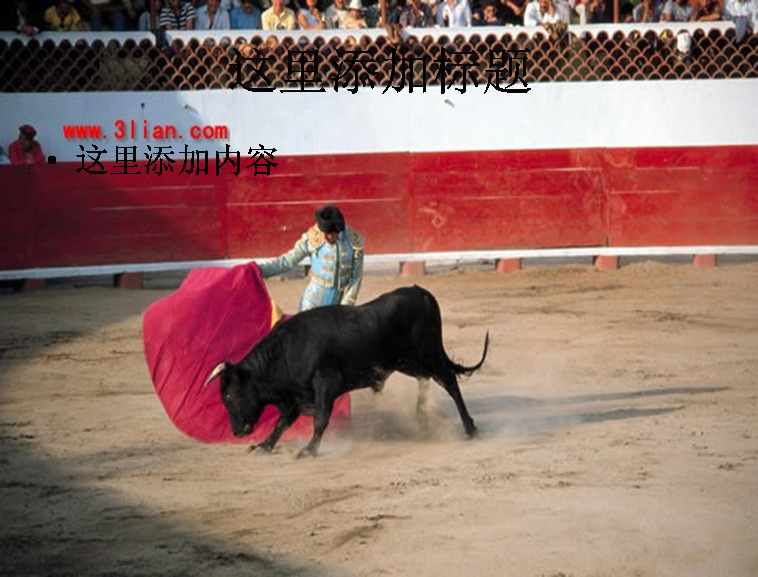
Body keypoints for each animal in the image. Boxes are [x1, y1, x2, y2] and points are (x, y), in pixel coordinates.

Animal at [206, 286, 492, 456]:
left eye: (228, 395)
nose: (236, 432)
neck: (286, 352)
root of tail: (422, 293)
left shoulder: (325, 384)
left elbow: (320, 418)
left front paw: (309, 450)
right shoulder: (296, 396)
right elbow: (282, 422)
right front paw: (263, 445)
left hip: (427, 355)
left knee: (450, 380)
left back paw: (470, 429)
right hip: (408, 362)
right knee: (428, 380)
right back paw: (422, 417)